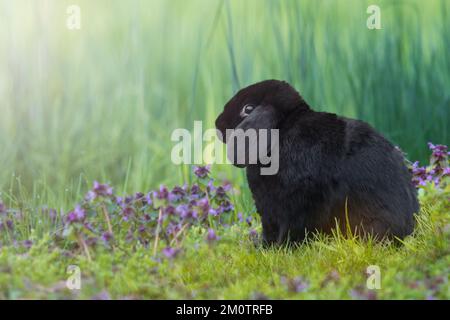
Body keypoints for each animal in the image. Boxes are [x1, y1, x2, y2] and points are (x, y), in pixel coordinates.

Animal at [214, 80, 418, 245]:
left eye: (248, 109)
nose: (217, 124)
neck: (281, 131)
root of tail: (406, 230)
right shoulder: (269, 211)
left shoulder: (295, 204)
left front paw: (276, 248)